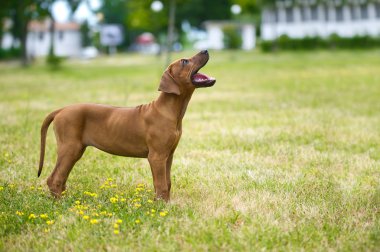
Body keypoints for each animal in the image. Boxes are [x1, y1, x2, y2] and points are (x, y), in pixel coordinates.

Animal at [39, 50, 217, 202]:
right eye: (185, 61)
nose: (206, 50)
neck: (170, 110)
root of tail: (61, 109)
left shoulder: (168, 155)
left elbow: (167, 183)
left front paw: (166, 204)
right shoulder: (157, 156)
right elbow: (160, 184)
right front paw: (161, 207)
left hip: (75, 150)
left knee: (61, 178)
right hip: (70, 148)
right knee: (54, 178)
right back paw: (61, 204)